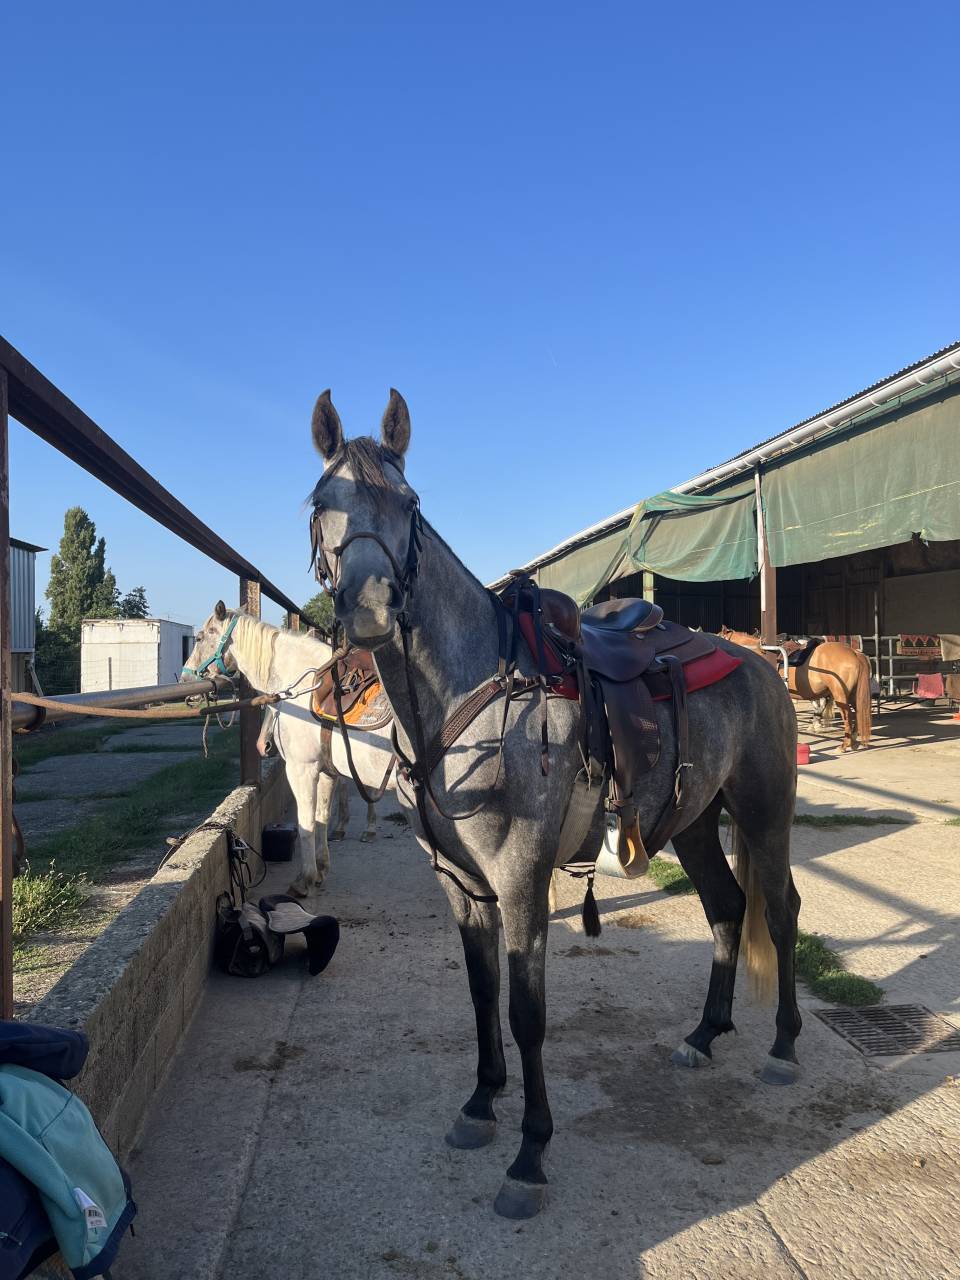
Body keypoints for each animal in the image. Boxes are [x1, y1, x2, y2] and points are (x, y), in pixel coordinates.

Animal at [182, 605, 395, 896]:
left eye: (200, 637)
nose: (184, 679)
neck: (307, 687)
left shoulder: (301, 769)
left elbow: (306, 822)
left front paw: (304, 880)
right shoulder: (327, 770)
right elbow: (321, 816)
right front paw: (321, 869)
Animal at [304, 388, 801, 1220]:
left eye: (409, 503)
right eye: (320, 502)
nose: (369, 607)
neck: (466, 698)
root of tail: (757, 660)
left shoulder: (519, 880)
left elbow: (526, 1013)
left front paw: (530, 1155)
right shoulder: (462, 885)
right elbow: (481, 995)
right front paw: (480, 1105)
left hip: (764, 813)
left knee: (783, 910)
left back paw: (785, 1046)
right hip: (696, 822)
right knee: (727, 907)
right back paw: (703, 1035)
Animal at [719, 627, 872, 752]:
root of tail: (854, 653)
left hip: (840, 694)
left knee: (848, 716)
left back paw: (844, 746)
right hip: (852, 694)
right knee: (857, 712)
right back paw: (854, 742)